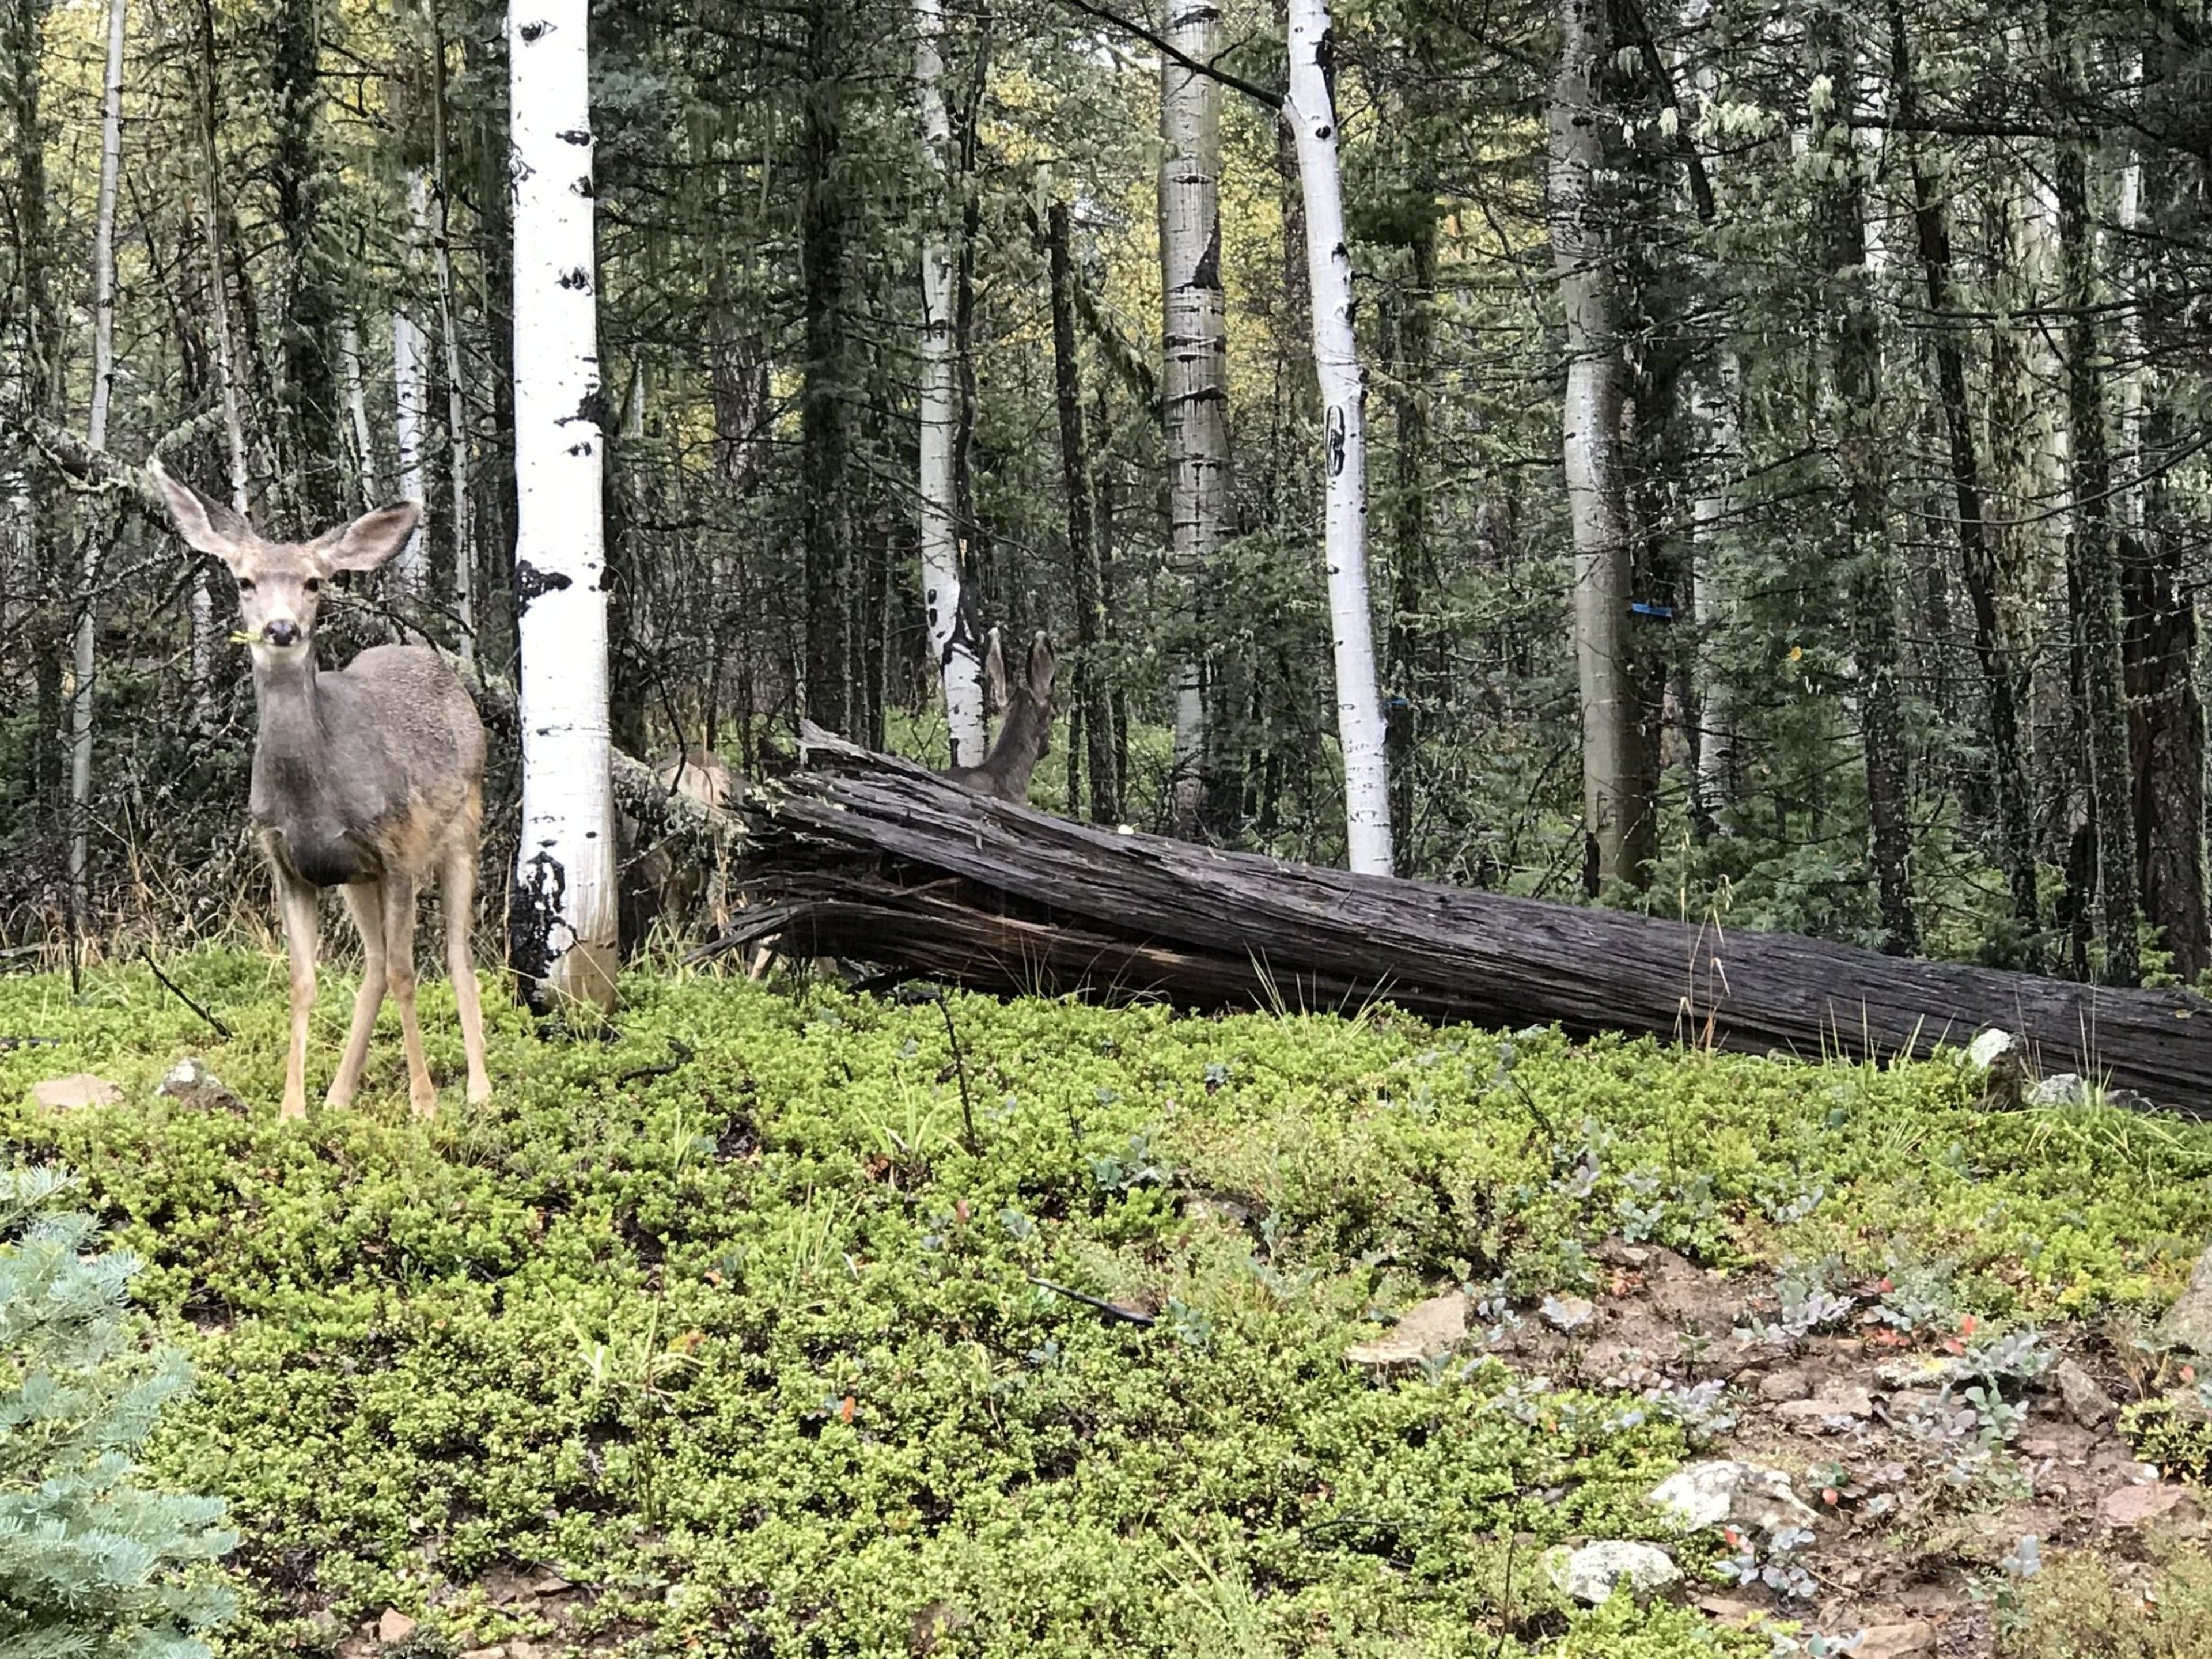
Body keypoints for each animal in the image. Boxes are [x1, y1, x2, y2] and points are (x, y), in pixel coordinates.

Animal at [153, 462, 492, 1120]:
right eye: (245, 581)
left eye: (314, 583)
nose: (281, 628)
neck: (314, 793)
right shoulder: (289, 864)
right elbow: (303, 981)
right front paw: (293, 1111)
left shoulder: (401, 850)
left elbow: (410, 972)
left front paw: (424, 1105)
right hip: (355, 878)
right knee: (374, 965)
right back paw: (339, 1096)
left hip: (465, 823)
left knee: (456, 955)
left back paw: (478, 1089)